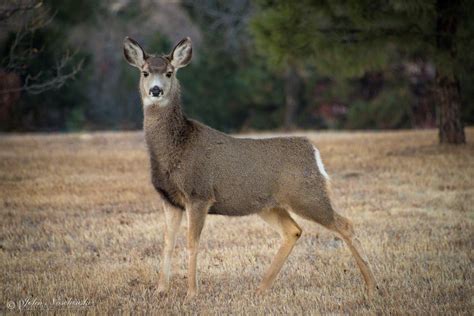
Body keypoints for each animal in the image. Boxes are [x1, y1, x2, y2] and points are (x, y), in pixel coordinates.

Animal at [123, 36, 378, 298]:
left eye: (169, 72)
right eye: (144, 72)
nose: (156, 90)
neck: (176, 149)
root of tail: (314, 152)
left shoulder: (199, 194)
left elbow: (192, 242)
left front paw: (192, 293)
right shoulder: (170, 199)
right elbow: (167, 242)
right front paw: (160, 290)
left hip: (307, 195)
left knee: (344, 224)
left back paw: (372, 285)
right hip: (270, 205)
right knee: (293, 230)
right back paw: (260, 288)